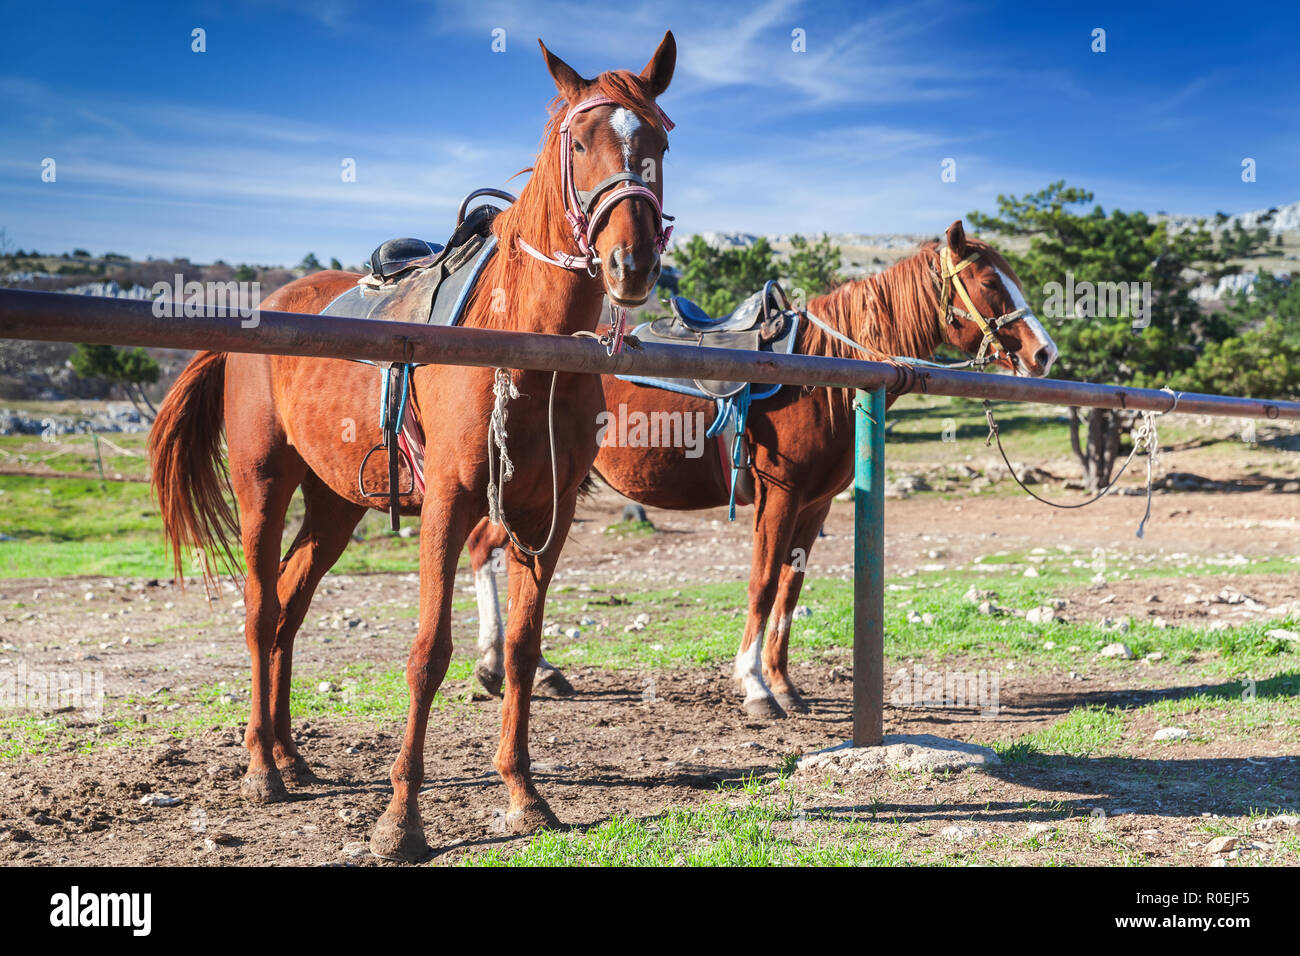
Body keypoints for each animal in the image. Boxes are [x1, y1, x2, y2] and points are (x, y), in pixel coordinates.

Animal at [149, 35, 681, 858]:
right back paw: (261, 767)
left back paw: (290, 755)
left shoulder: (546, 520)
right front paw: (401, 819)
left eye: (658, 140)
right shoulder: (448, 506)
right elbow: (429, 655)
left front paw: (523, 794)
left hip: (335, 504)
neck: (522, 345)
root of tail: (260, 312)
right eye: (578, 142)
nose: (632, 263)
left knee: (290, 605)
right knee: (260, 611)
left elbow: (522, 650)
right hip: (263, 484)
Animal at [467, 222, 1055, 717]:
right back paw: (500, 665)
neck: (821, 373)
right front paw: (754, 686)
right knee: (484, 548)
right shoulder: (780, 494)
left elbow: (791, 589)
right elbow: (764, 583)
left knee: (493, 550)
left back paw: (528, 669)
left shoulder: (815, 505)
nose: (1044, 354)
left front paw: (784, 683)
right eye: (989, 281)